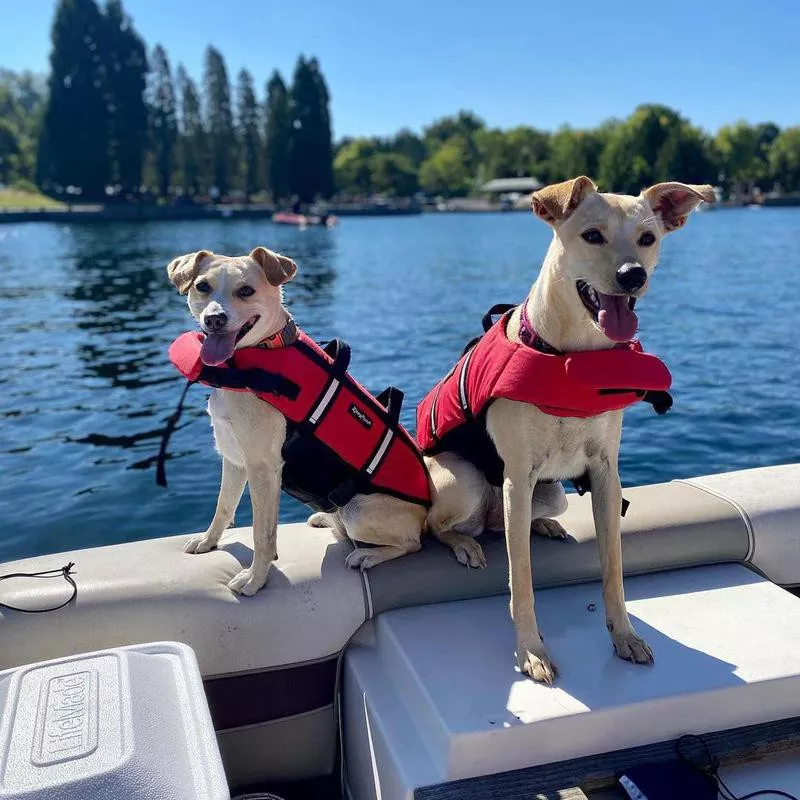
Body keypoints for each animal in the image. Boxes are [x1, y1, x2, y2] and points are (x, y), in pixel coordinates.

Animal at [166, 248, 432, 592]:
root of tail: (427, 512)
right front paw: (208, 542)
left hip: (360, 511)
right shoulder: (234, 458)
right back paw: (324, 519)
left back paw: (367, 555)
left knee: (412, 542)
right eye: (202, 286)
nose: (214, 319)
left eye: (246, 291)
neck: (257, 353)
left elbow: (262, 533)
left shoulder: (263, 468)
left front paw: (255, 579)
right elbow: (223, 506)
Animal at [424, 180, 712, 680]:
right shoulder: (516, 478)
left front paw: (625, 636)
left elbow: (613, 569)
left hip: (551, 493)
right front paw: (531, 651)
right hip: (464, 479)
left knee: (509, 523)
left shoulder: (605, 473)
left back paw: (540, 525)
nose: (633, 275)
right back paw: (464, 542)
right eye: (592, 235)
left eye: (648, 238)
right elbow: (521, 579)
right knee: (440, 524)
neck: (573, 354)